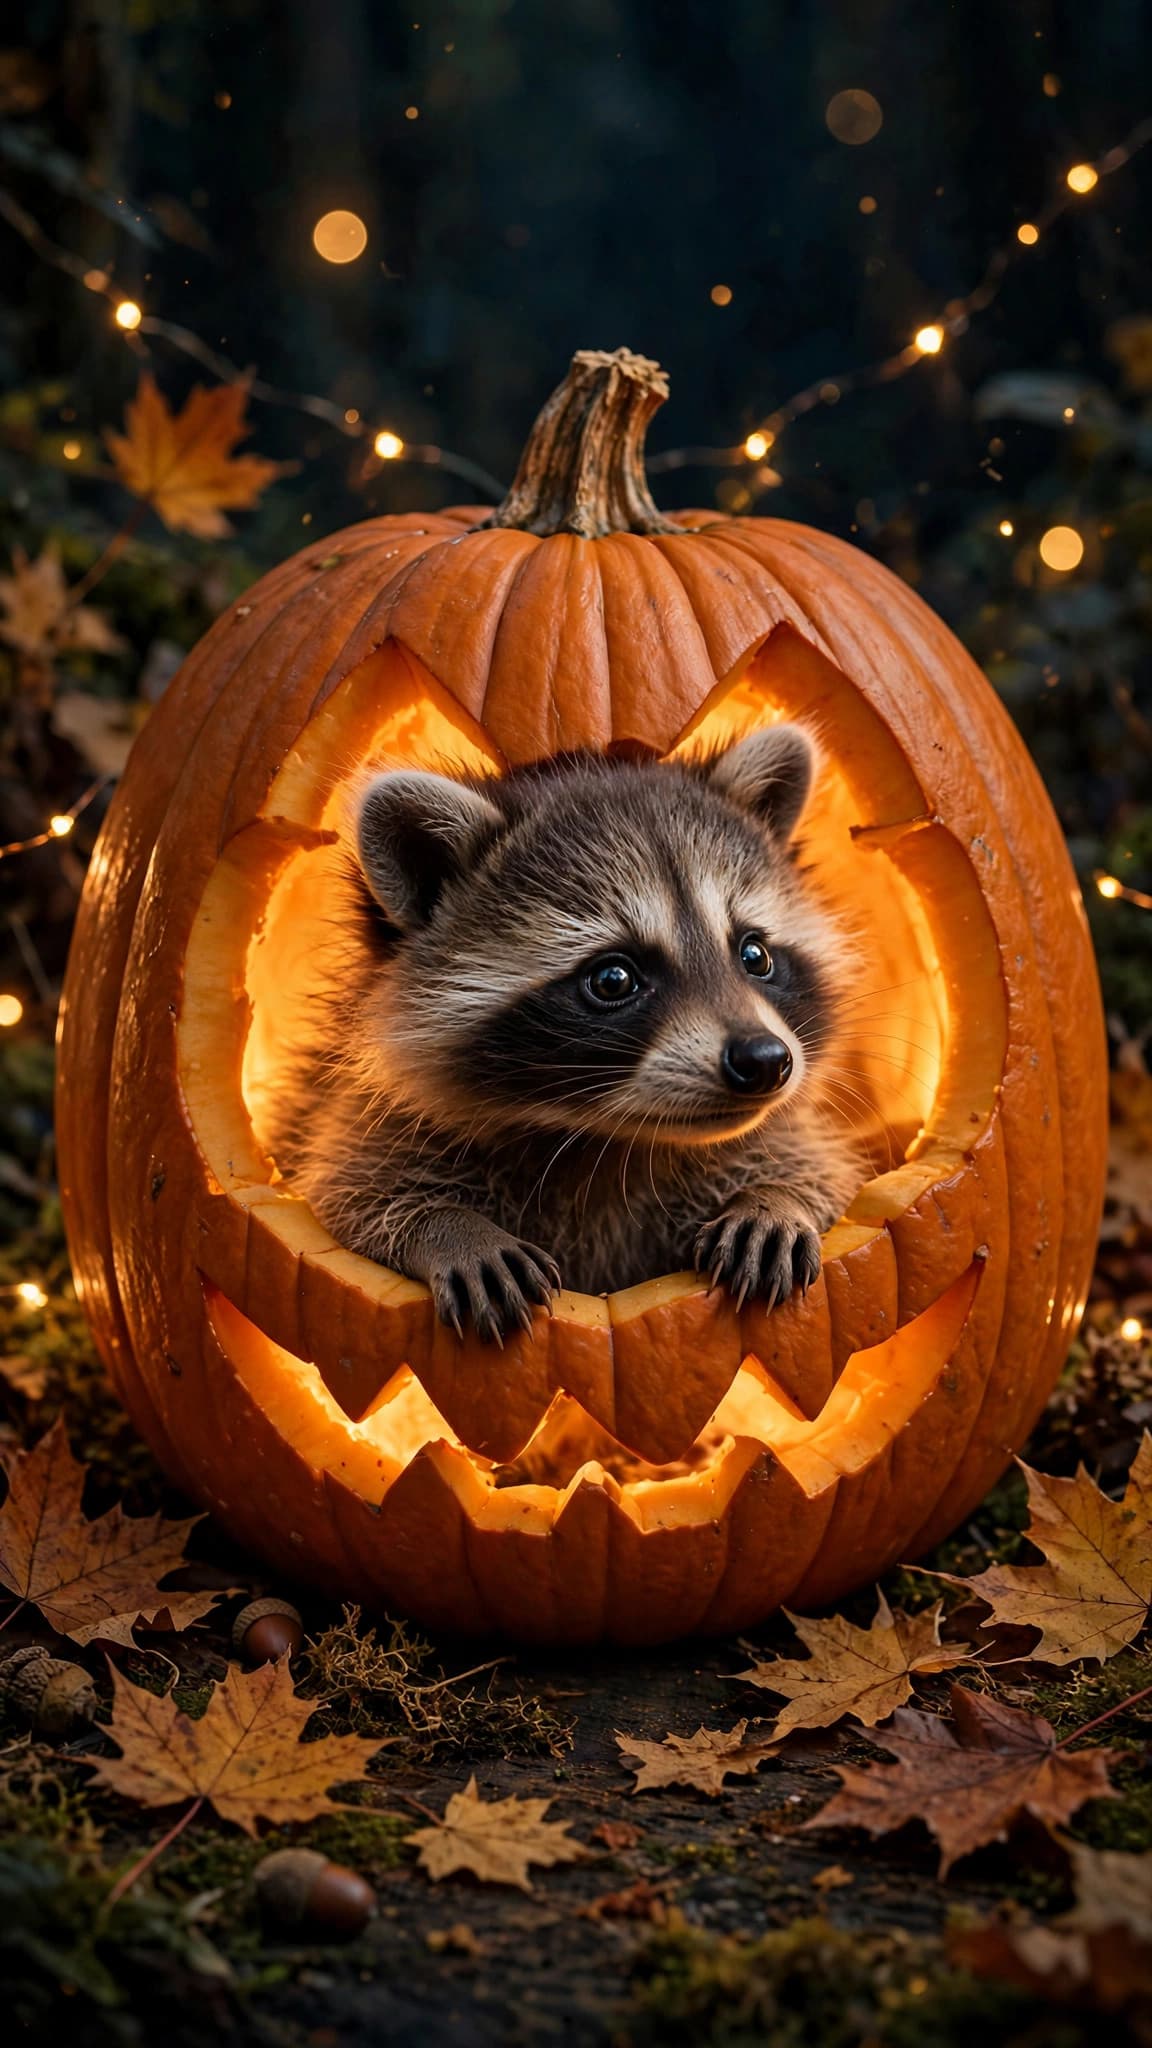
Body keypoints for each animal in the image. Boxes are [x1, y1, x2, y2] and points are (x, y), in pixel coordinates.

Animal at [280, 727, 863, 1343]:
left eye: (755, 955)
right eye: (613, 979)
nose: (765, 1060)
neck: (611, 1138)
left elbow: (823, 1175)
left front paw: (776, 1200)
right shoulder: (357, 1122)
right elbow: (348, 1198)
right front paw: (449, 1227)